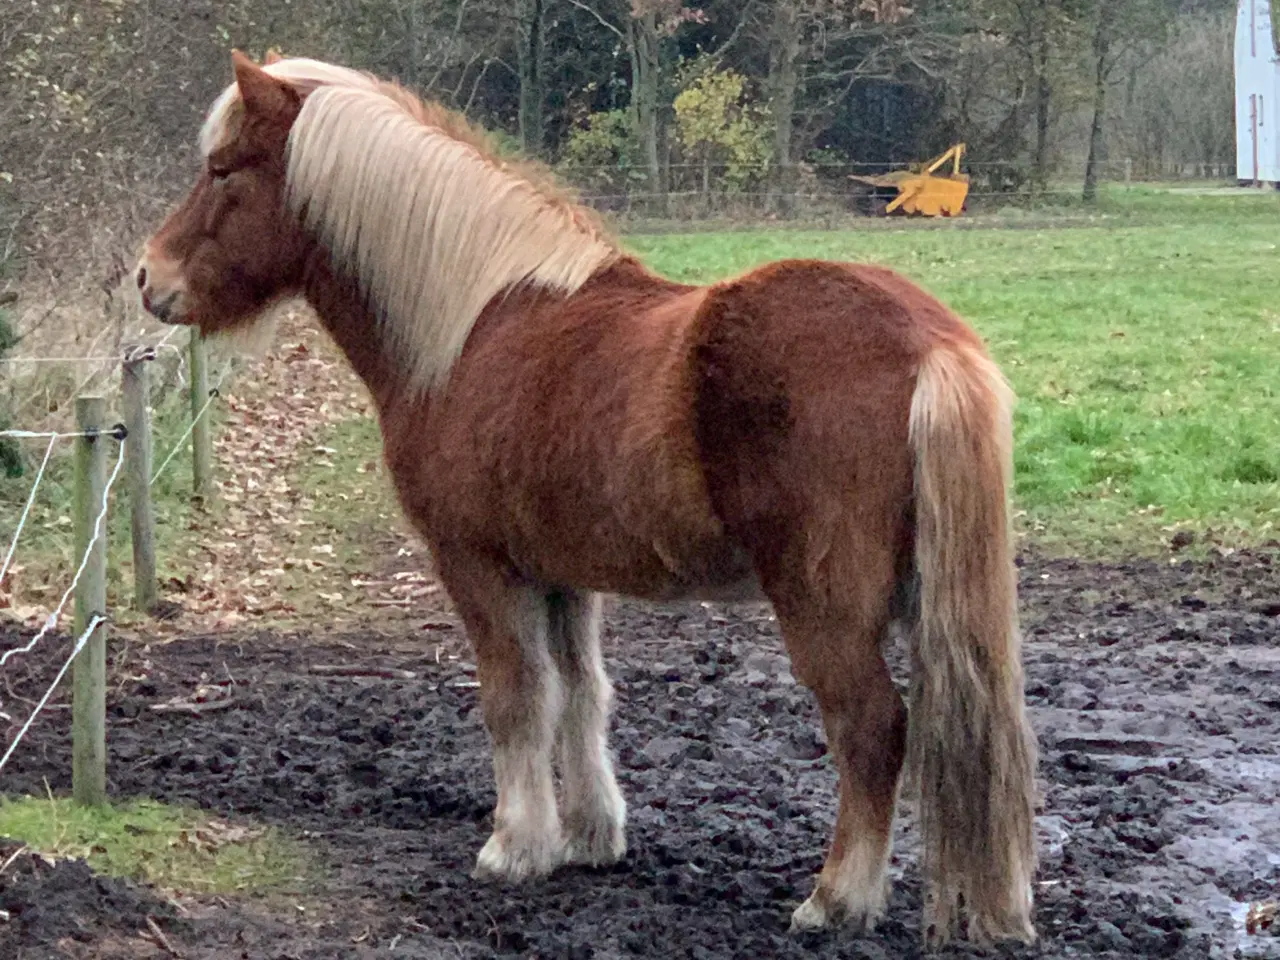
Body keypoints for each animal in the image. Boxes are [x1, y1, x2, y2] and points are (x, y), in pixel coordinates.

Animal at [135, 50, 1039, 947]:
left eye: (223, 170)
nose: (149, 278)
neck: (478, 327)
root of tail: (928, 343)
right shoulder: (562, 575)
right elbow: (580, 694)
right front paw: (591, 834)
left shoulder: (477, 565)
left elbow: (516, 698)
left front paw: (515, 845)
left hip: (826, 609)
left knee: (873, 730)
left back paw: (835, 899)